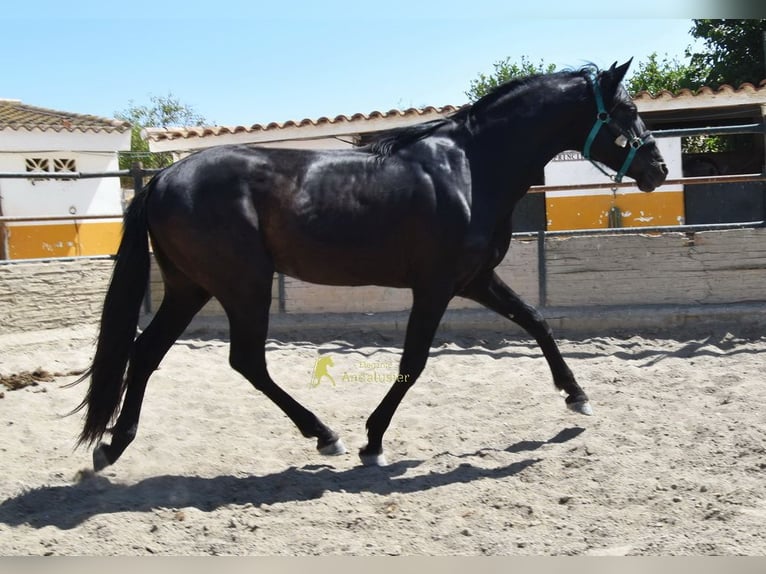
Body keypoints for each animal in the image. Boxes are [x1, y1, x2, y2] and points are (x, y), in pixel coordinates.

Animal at [72, 60, 667, 470]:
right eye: (627, 111)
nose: (658, 169)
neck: (469, 169)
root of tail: (163, 179)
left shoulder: (475, 280)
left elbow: (537, 321)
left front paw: (577, 397)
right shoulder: (436, 287)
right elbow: (413, 362)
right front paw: (373, 440)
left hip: (190, 287)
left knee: (147, 353)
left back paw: (113, 447)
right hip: (243, 284)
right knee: (246, 360)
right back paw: (326, 435)